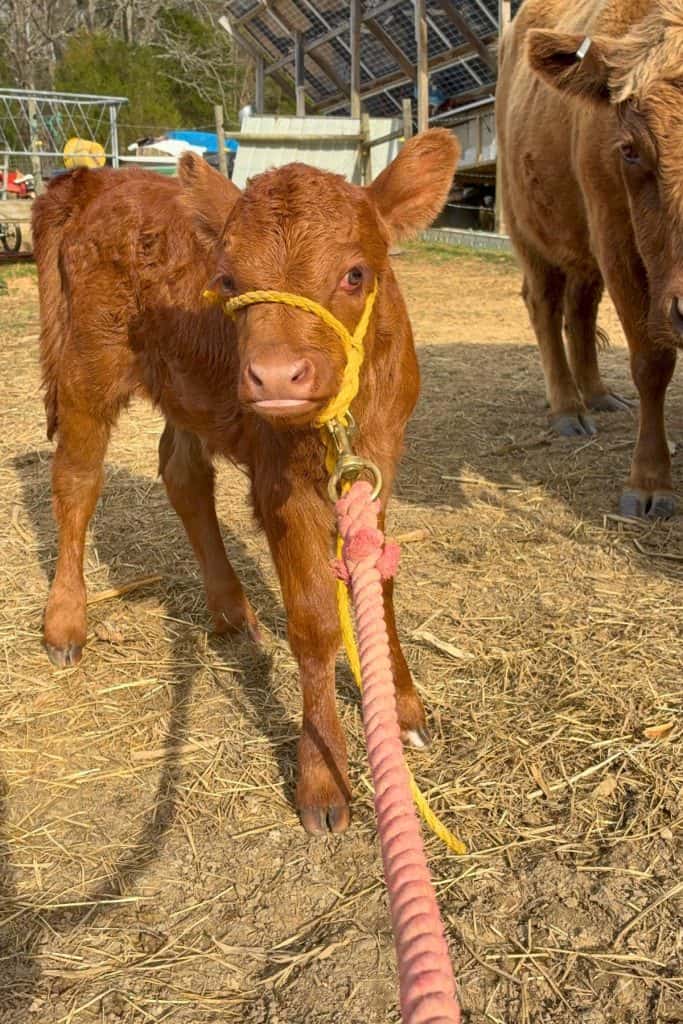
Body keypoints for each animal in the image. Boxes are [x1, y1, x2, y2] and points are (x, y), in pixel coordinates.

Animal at [31, 129, 460, 834]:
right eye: (229, 280)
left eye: (356, 273)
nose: (276, 375)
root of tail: (102, 180)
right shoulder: (280, 482)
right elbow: (313, 621)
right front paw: (323, 778)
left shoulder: (378, 464)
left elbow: (381, 584)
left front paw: (402, 707)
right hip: (89, 365)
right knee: (76, 480)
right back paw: (65, 622)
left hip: (186, 382)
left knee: (181, 472)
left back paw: (231, 608)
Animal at [497, 0, 683, 517]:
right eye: (631, 150)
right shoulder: (617, 242)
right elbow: (652, 362)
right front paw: (650, 481)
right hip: (527, 227)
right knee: (544, 306)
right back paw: (567, 408)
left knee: (579, 312)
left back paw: (597, 395)